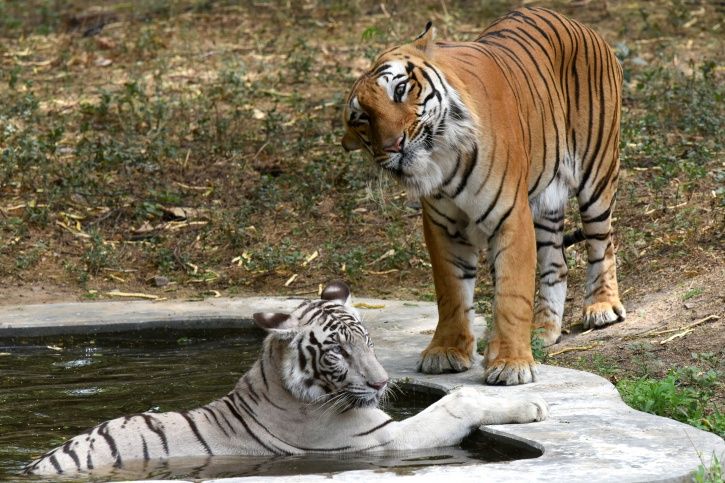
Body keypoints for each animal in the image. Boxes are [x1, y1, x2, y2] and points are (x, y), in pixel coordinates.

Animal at [25, 281, 548, 477]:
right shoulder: (384, 440)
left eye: (368, 341)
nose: (381, 385)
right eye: (336, 352)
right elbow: (456, 402)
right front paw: (533, 406)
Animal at [341, 7, 626, 386]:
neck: (441, 162)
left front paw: (511, 363)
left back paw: (602, 307)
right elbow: (451, 292)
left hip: (596, 173)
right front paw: (447, 351)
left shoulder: (511, 217)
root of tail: (579, 23)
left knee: (602, 242)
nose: (393, 145)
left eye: (400, 89)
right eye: (362, 119)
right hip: (546, 201)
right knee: (557, 264)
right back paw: (542, 330)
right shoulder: (441, 227)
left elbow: (511, 293)